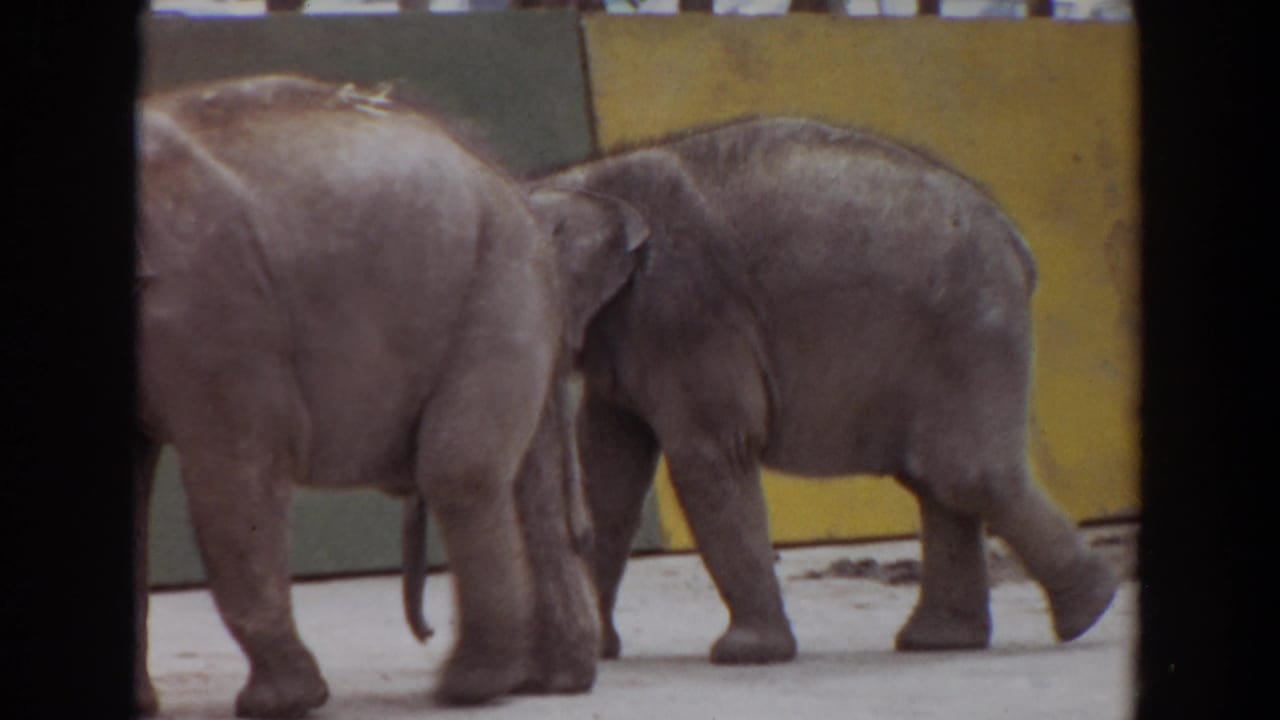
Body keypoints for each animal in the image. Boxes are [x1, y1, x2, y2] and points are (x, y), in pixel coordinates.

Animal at [134, 74, 607, 718]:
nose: (424, 630)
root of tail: (514, 187)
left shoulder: (216, 304)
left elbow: (238, 467)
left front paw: (279, 704)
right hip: (512, 293)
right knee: (529, 475)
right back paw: (550, 680)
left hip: (500, 282)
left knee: (459, 470)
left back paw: (468, 686)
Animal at [525, 117, 1120, 665]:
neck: (584, 182)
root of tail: (1017, 243)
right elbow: (611, 472)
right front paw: (598, 653)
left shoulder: (685, 314)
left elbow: (710, 454)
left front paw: (746, 655)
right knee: (937, 477)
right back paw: (943, 640)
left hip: (973, 326)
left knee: (966, 473)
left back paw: (1089, 611)